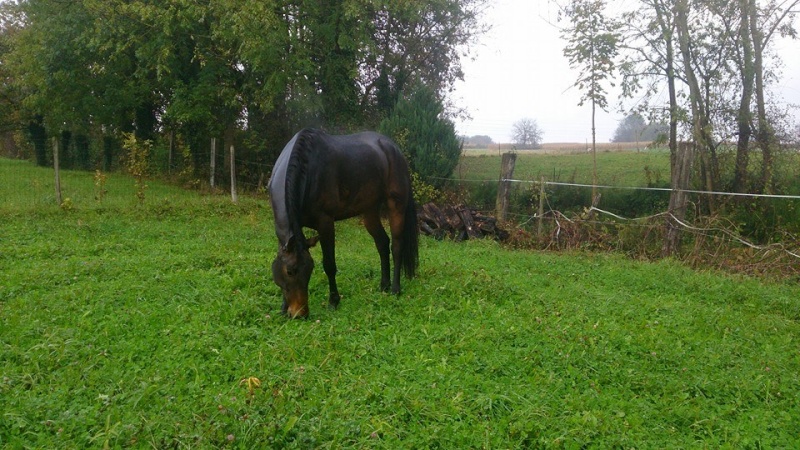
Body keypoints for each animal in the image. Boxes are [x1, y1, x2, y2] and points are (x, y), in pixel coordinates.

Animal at [268, 126, 418, 318]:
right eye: (290, 271)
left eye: (310, 269)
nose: (300, 314)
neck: (307, 169)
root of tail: (393, 148)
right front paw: (282, 307)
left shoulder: (325, 223)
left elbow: (329, 264)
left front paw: (333, 301)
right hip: (369, 210)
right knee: (382, 243)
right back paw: (383, 286)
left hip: (396, 206)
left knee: (396, 246)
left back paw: (395, 289)